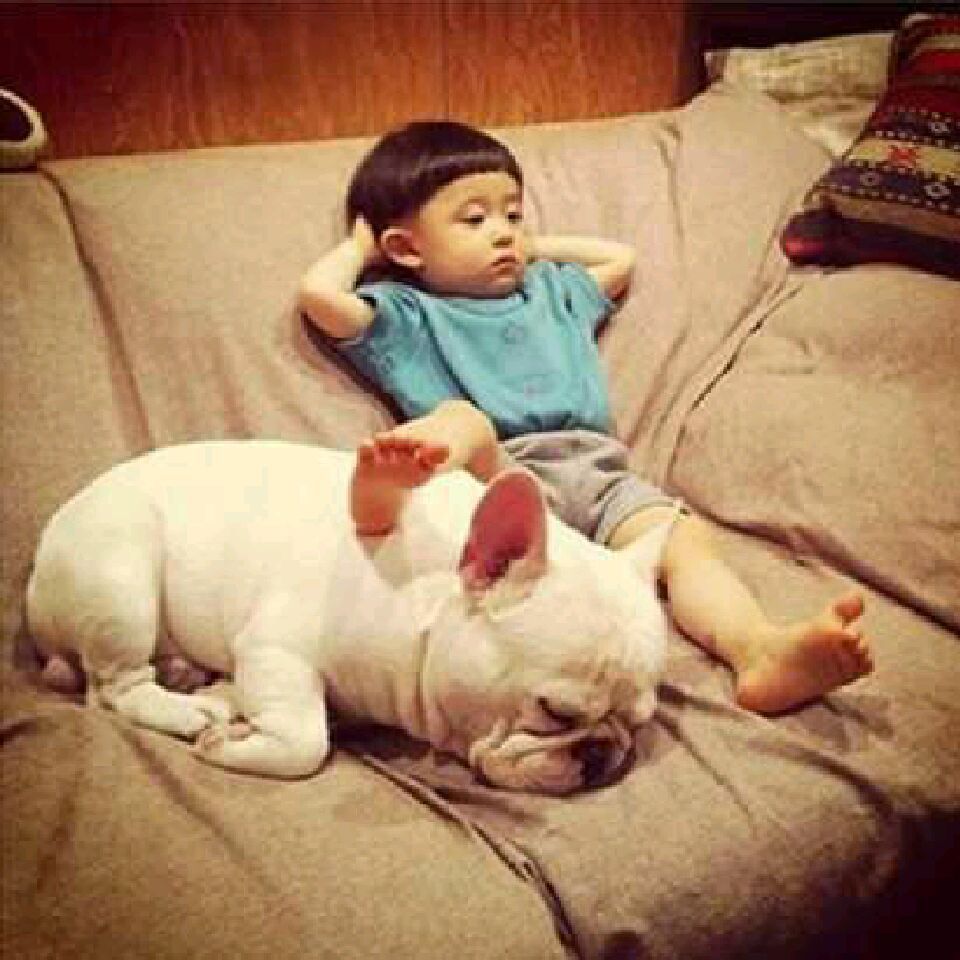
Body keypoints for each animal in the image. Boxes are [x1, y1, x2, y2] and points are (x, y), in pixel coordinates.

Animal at [26, 441, 670, 795]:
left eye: (639, 722)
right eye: (555, 712)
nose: (602, 754)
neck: (426, 606)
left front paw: (229, 702)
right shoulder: (276, 648)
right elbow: (307, 742)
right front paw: (229, 744)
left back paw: (187, 677)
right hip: (121, 574)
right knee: (114, 689)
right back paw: (183, 711)